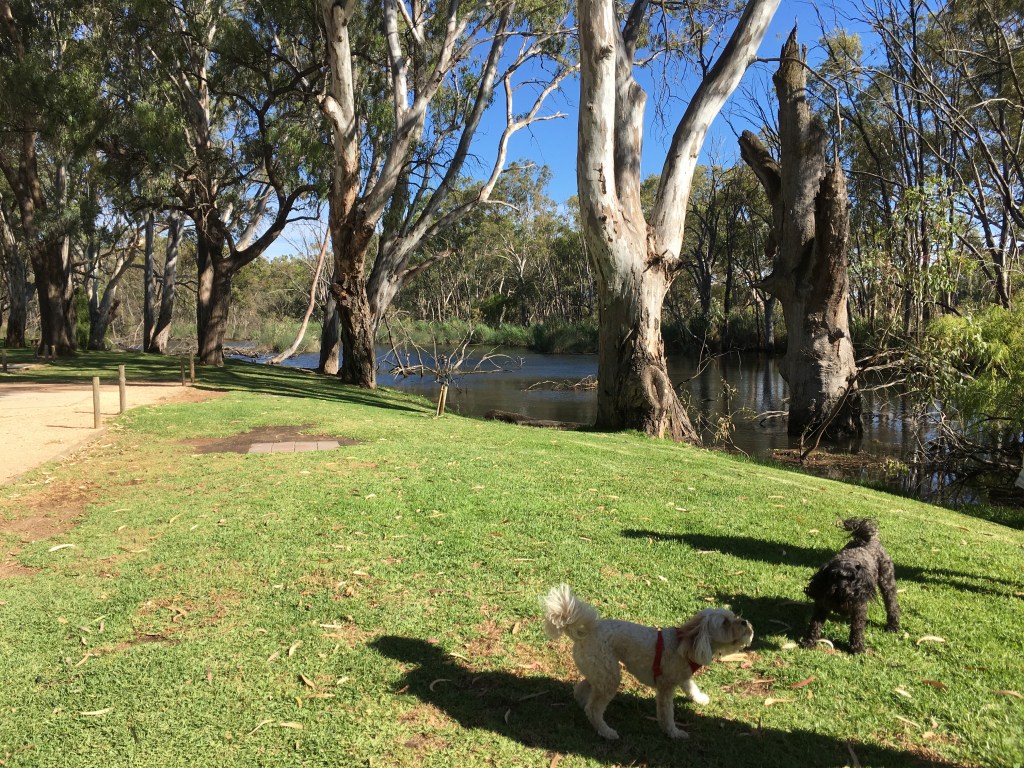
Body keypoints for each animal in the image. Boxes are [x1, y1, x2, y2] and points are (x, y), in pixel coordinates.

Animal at [542, 584, 753, 739]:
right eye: (725, 623)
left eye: (734, 616)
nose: (745, 622)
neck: (686, 642)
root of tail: (584, 632)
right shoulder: (666, 686)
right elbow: (667, 714)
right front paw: (674, 733)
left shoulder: (682, 675)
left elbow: (691, 686)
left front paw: (700, 698)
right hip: (609, 675)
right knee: (594, 708)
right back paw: (606, 731)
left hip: (601, 671)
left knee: (582, 690)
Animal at [801, 517, 900, 654]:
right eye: (834, 576)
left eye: (852, 579)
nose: (843, 589)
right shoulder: (821, 605)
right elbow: (814, 625)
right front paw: (809, 642)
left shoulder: (859, 608)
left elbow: (857, 629)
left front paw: (857, 648)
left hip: (887, 582)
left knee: (892, 605)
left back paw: (893, 626)